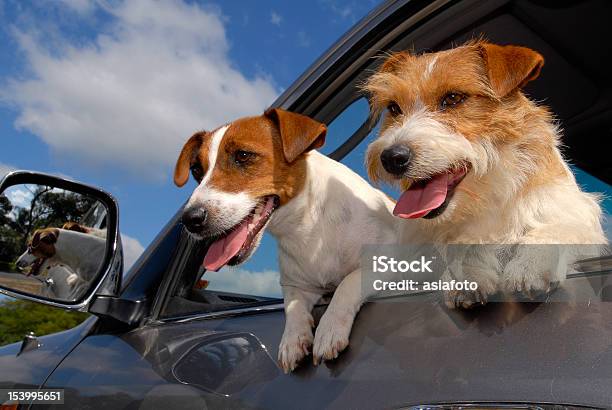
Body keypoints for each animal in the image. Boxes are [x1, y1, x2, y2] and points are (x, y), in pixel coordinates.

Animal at [176, 109, 396, 372]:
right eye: (196, 171)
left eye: (243, 155)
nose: (190, 219)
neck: (307, 226)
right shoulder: (296, 285)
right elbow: (292, 307)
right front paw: (292, 340)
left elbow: (349, 281)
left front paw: (329, 329)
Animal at [364, 40, 608, 308]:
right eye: (394, 108)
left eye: (453, 98)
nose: (391, 158)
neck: (487, 196)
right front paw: (467, 276)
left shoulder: (575, 213)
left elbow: (556, 228)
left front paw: (530, 265)